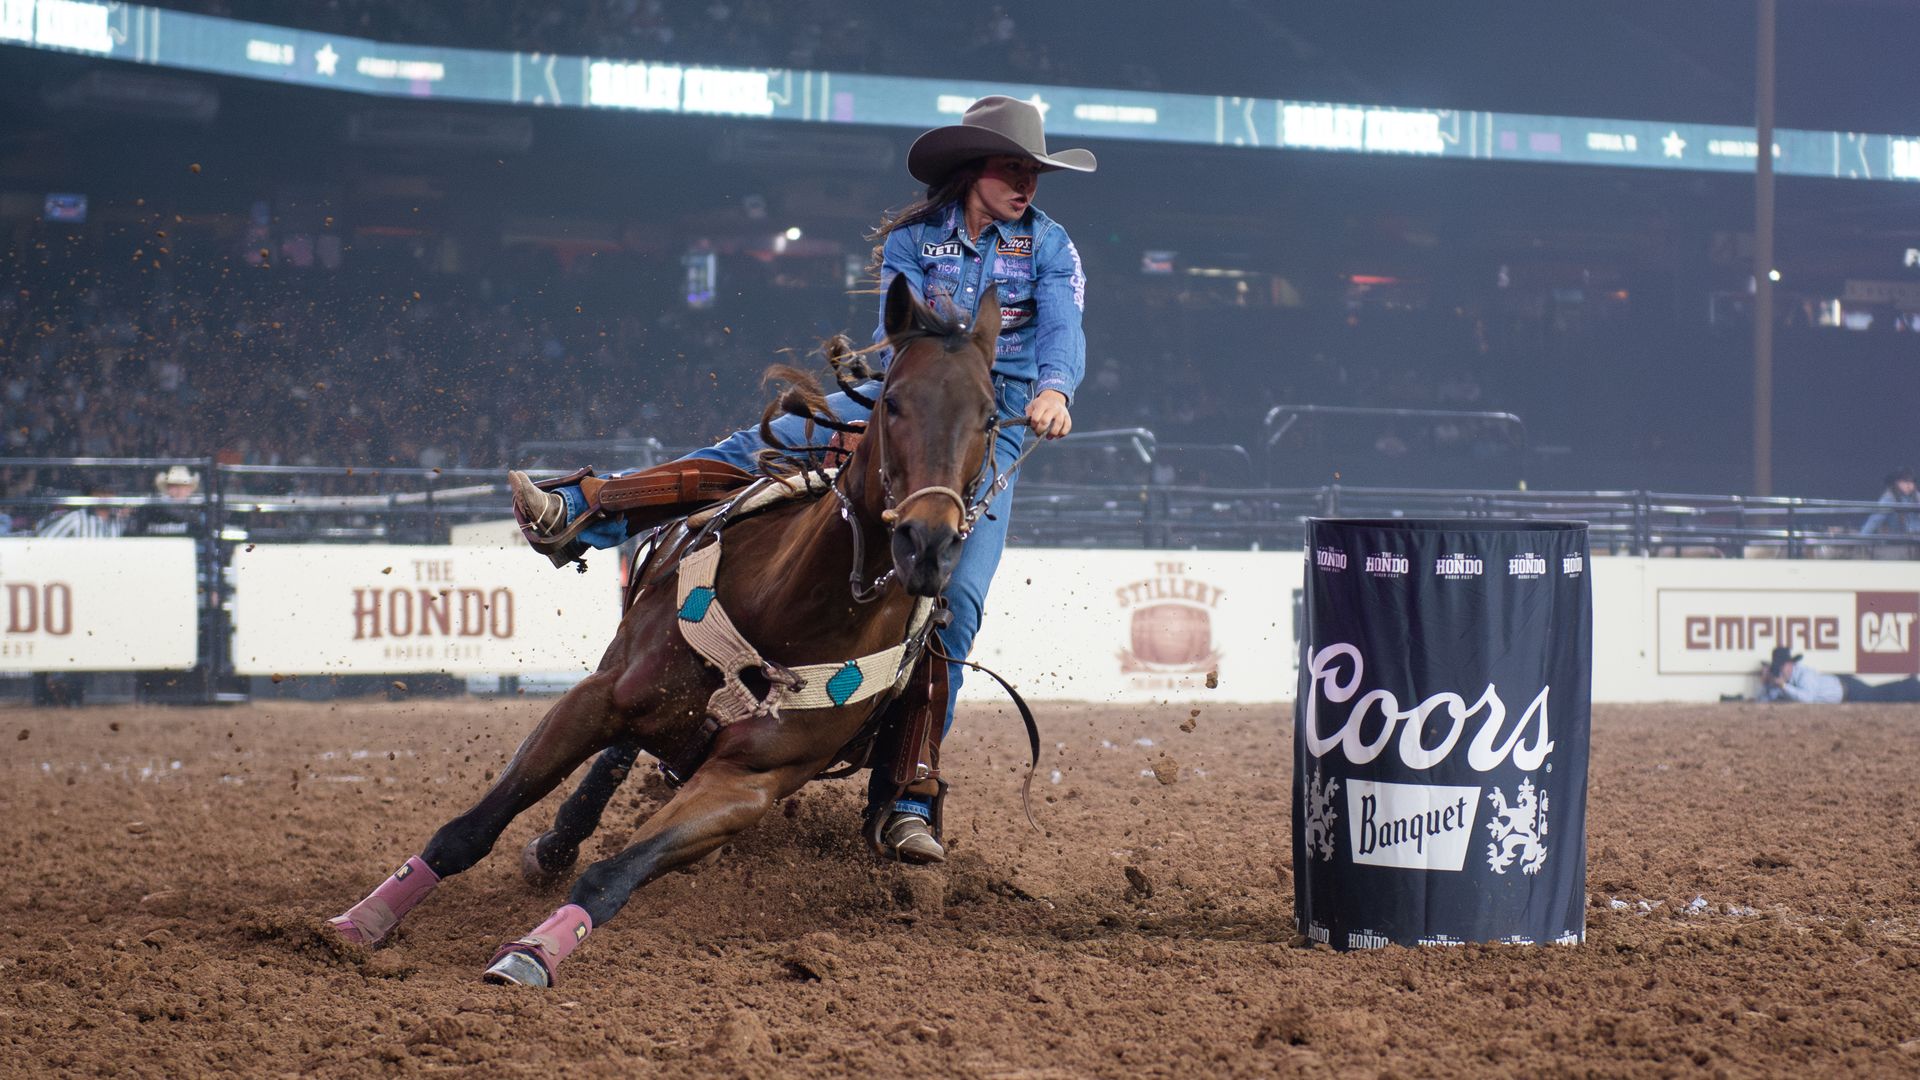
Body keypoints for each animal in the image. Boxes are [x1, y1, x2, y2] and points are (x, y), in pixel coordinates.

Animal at [326, 275, 1007, 987]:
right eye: (894, 402)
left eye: (991, 418)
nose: (926, 542)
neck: (790, 610)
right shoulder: (598, 696)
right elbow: (470, 828)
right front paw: (360, 923)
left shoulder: (746, 784)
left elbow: (614, 876)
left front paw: (532, 953)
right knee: (615, 759)